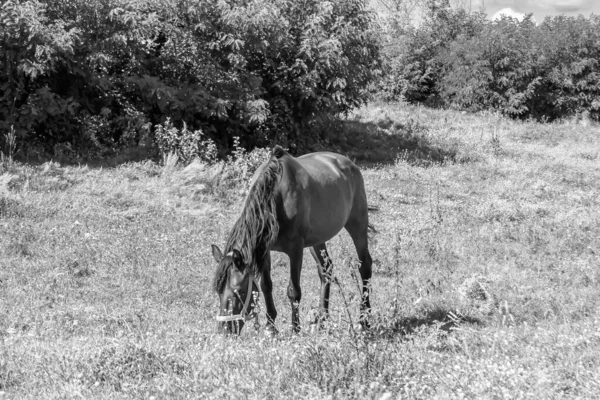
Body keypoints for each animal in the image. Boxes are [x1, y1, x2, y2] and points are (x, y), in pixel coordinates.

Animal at [211, 145, 370, 336]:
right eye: (218, 291)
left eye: (238, 291)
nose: (224, 331)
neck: (275, 198)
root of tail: (349, 164)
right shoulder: (265, 249)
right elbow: (266, 285)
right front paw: (271, 327)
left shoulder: (296, 249)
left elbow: (293, 290)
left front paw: (295, 329)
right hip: (317, 241)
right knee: (326, 270)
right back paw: (323, 321)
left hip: (357, 226)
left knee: (365, 266)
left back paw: (363, 321)